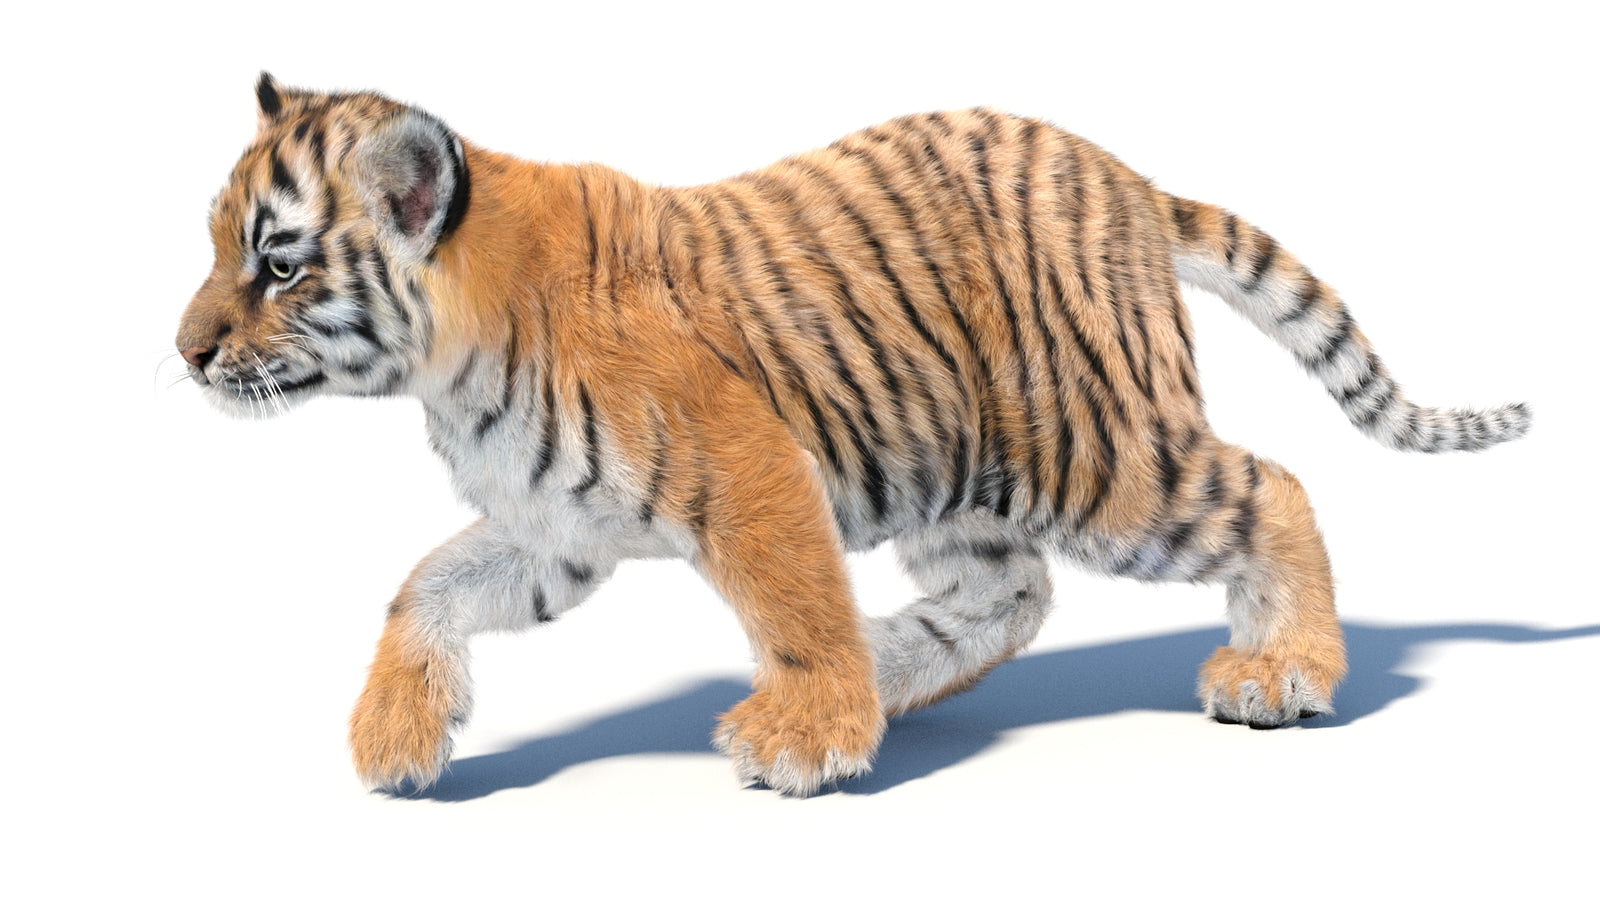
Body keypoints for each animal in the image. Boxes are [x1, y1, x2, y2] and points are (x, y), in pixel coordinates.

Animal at [175, 73, 1530, 797]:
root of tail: (1125, 180)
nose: (184, 351)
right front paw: (395, 737)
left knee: (1273, 488)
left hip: (1102, 461)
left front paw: (806, 737)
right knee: (1011, 598)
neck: (447, 363)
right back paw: (892, 672)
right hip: (968, 483)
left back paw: (1279, 670)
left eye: (278, 262)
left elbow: (791, 597)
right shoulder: (559, 526)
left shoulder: (745, 461)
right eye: (219, 243)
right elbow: (427, 586)